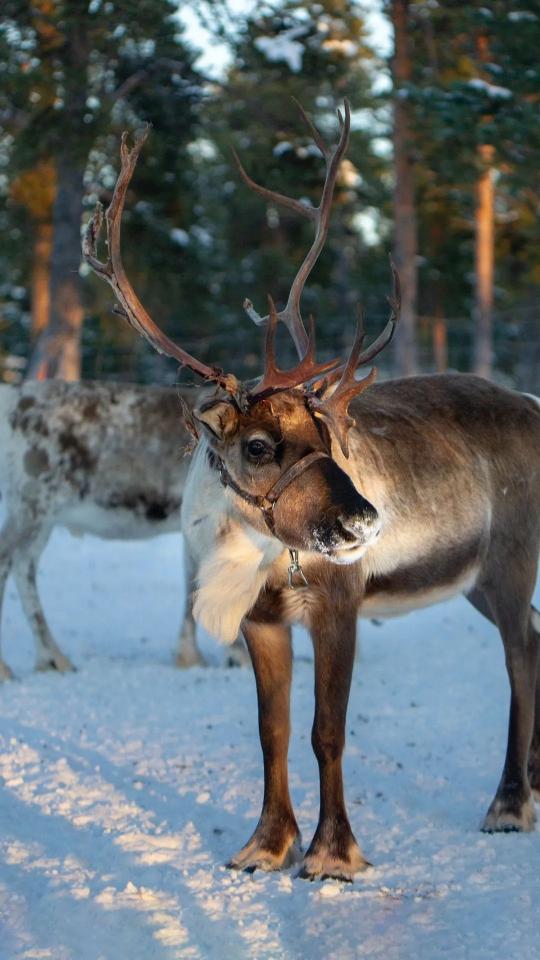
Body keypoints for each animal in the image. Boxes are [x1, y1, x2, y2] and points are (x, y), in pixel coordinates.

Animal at [0, 379, 247, 679]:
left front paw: (192, 657)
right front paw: (231, 656)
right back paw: (7, 668)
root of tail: (11, 397)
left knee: (24, 566)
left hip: (40, 516)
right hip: (29, 504)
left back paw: (53, 659)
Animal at [83, 100, 540, 882]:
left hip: (512, 562)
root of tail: (536, 406)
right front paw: (265, 846)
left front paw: (332, 854)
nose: (365, 520)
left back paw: (509, 804)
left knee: (519, 658)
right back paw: (531, 787)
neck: (250, 549)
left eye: (331, 438)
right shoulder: (261, 620)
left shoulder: (338, 601)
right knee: (536, 642)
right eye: (258, 446)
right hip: (475, 579)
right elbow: (273, 731)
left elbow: (329, 731)